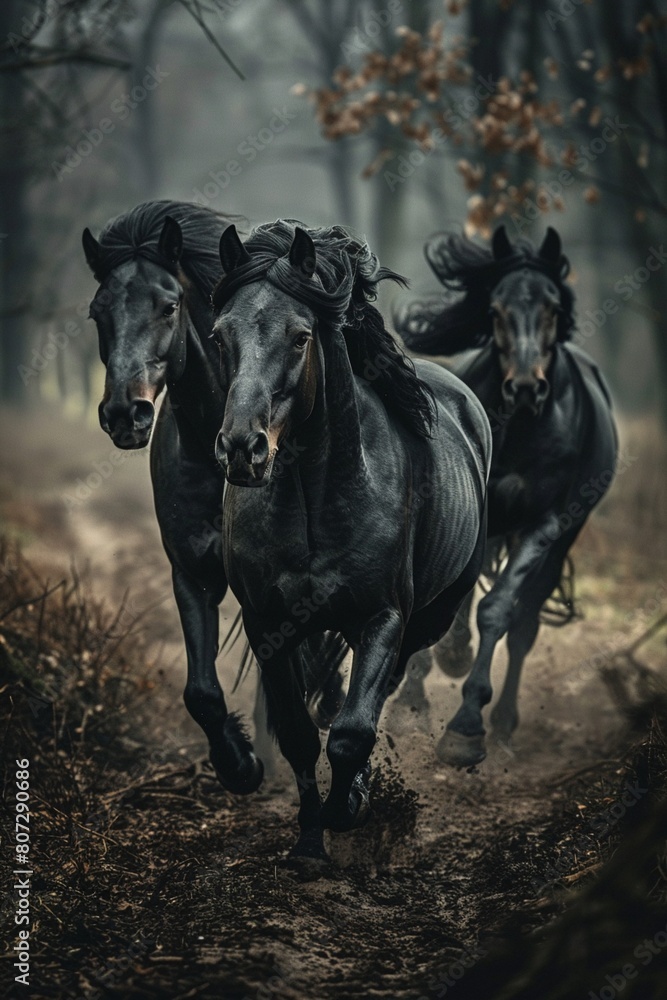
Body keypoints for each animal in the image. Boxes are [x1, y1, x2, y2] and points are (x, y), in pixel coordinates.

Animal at [81, 201, 344, 794]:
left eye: (169, 306)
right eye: (96, 313)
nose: (124, 414)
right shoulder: (192, 571)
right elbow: (201, 692)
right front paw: (241, 764)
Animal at [209, 219, 491, 860]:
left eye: (299, 338)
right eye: (219, 335)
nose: (242, 448)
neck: (313, 503)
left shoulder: (382, 616)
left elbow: (352, 731)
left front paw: (350, 806)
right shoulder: (269, 623)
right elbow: (298, 735)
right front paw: (310, 841)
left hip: (429, 617)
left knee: (385, 686)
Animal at [395, 225, 618, 768]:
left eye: (554, 308)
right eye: (494, 309)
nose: (524, 388)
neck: (519, 427)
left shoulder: (545, 523)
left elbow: (497, 610)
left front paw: (465, 729)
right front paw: (412, 703)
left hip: (558, 542)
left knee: (524, 625)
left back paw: (502, 726)